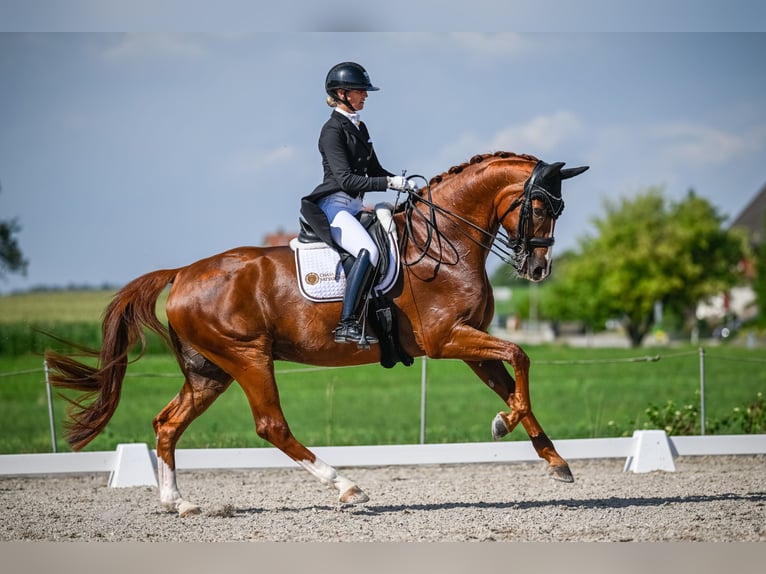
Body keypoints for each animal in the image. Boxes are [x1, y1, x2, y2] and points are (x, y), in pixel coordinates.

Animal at [45, 150, 592, 516]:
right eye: (539, 208)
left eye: (557, 210)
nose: (538, 269)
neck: (444, 242)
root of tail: (182, 273)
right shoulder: (446, 339)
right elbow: (521, 356)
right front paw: (503, 425)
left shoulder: (470, 341)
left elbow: (513, 378)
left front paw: (553, 460)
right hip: (248, 357)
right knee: (272, 426)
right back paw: (347, 487)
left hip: (209, 371)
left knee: (167, 423)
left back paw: (178, 503)